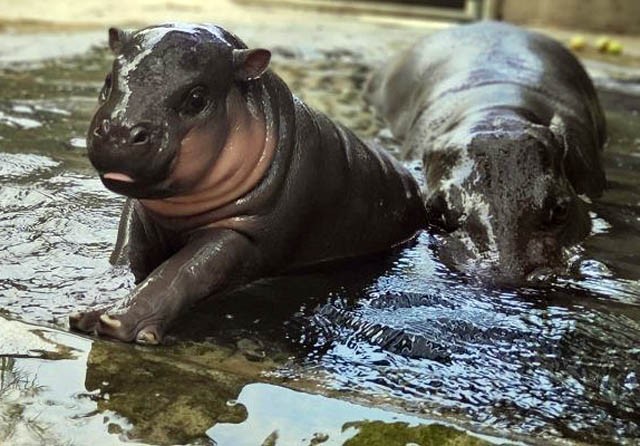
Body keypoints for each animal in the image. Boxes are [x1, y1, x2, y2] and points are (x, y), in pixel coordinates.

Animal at [69, 23, 426, 343]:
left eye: (197, 98)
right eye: (108, 80)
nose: (119, 132)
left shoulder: (249, 232)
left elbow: (185, 271)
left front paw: (116, 320)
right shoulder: (140, 210)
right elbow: (126, 254)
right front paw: (91, 303)